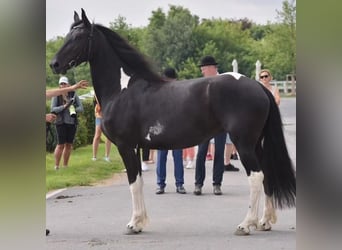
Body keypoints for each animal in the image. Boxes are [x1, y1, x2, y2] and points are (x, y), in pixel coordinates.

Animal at [49, 9, 296, 236]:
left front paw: (134, 224)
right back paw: (265, 222)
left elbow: (133, 183)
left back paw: (246, 225)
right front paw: (140, 222)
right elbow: (139, 181)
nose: (54, 64)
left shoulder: (126, 146)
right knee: (267, 174)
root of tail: (259, 87)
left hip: (243, 143)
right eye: (68, 35)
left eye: (79, 37)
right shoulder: (136, 148)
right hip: (256, 144)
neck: (123, 90)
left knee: (256, 176)